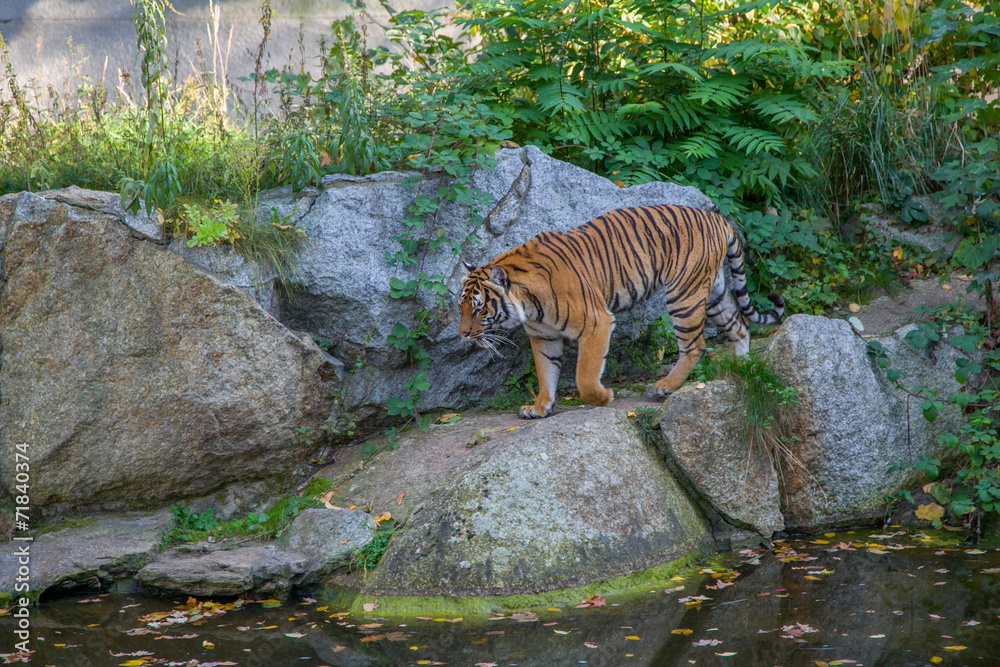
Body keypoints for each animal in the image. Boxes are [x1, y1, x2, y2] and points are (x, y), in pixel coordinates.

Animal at [458, 204, 784, 419]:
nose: (462, 335)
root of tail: (718, 218)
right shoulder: (544, 337)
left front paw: (603, 398)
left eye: (479, 309)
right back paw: (743, 368)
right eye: (461, 307)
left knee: (695, 345)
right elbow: (546, 372)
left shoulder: (596, 322)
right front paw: (539, 407)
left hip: (684, 294)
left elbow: (585, 375)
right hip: (712, 291)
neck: (529, 305)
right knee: (739, 325)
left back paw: (665, 386)